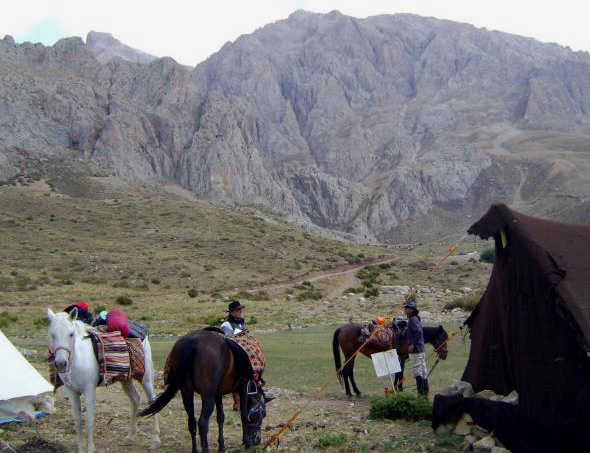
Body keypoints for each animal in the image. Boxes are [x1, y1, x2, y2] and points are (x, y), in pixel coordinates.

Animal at [47, 308, 161, 452]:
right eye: (52, 335)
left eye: (71, 334)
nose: (61, 364)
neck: (78, 360)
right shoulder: (71, 391)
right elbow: (77, 421)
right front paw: (81, 449)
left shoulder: (89, 390)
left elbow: (89, 420)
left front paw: (90, 449)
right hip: (125, 379)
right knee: (135, 400)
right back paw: (130, 436)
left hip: (145, 379)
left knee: (153, 401)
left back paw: (155, 440)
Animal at [140, 328, 272, 452]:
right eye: (263, 413)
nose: (257, 440)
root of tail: (192, 340)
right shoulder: (243, 388)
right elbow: (243, 415)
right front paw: (246, 443)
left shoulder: (218, 394)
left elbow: (221, 417)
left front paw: (222, 446)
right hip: (207, 396)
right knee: (202, 423)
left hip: (186, 392)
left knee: (192, 421)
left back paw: (195, 450)